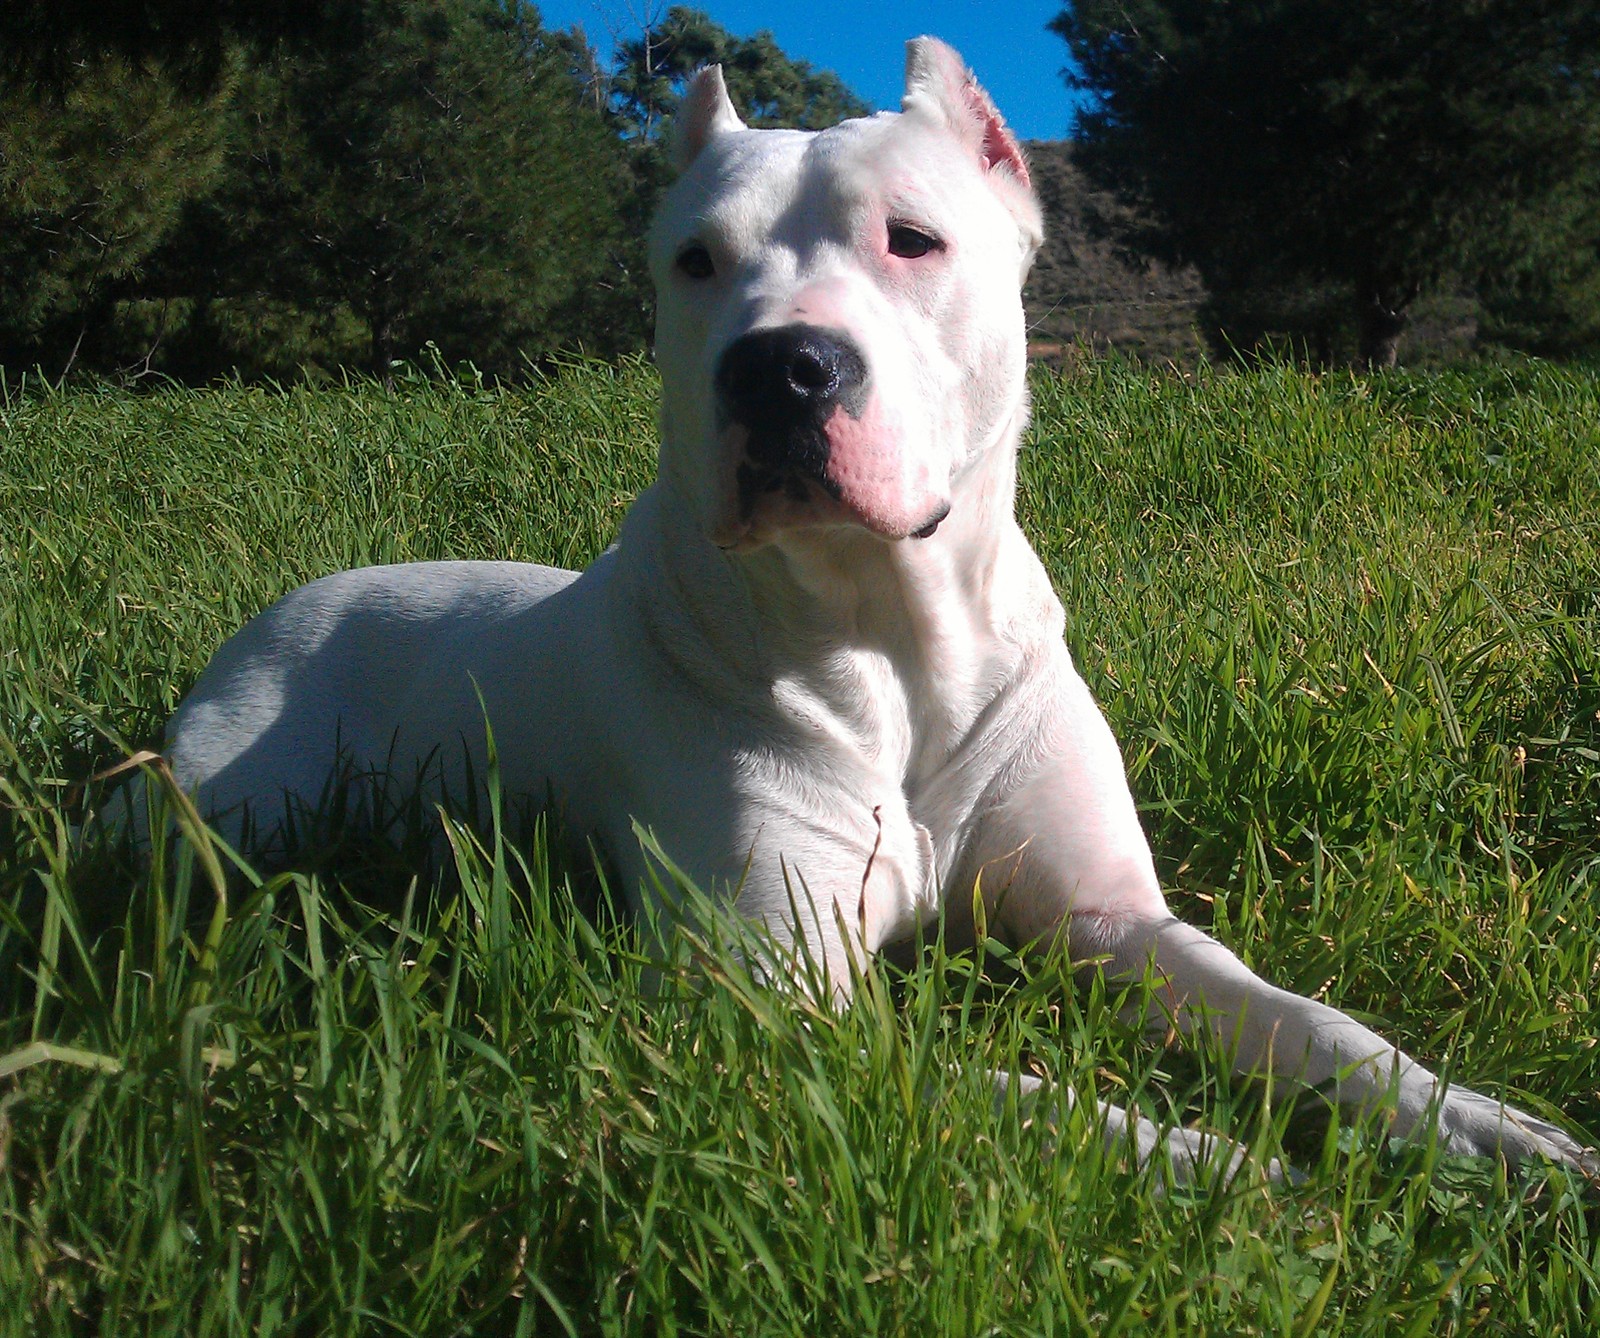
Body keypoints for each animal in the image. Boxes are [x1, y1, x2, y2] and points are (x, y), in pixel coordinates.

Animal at [159, 36, 1587, 1177]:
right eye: (692, 261)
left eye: (913, 239)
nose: (778, 367)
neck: (895, 631)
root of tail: (294, 602)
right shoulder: (774, 1007)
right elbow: (1037, 1102)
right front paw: (1238, 1172)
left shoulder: (1111, 920)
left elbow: (1304, 1019)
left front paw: (1480, 1128)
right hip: (224, 814)